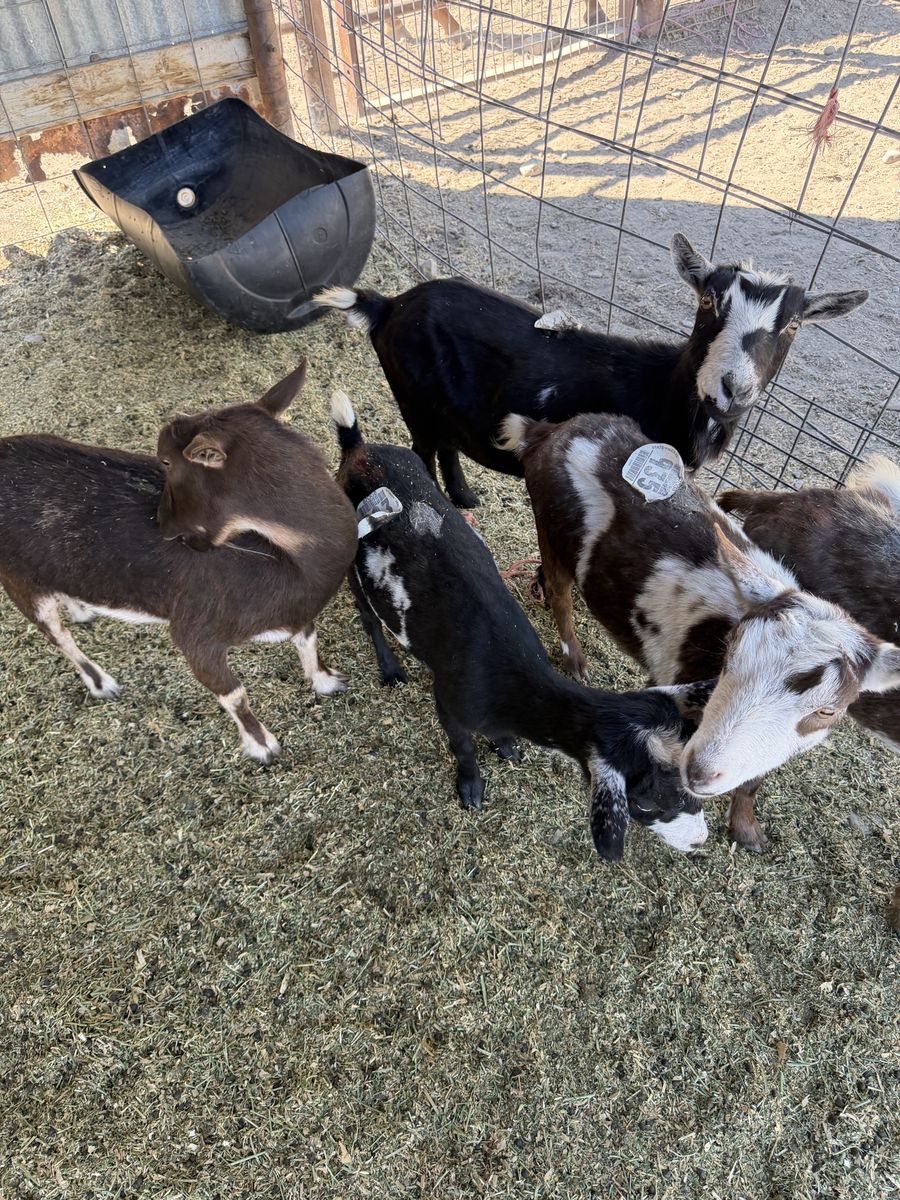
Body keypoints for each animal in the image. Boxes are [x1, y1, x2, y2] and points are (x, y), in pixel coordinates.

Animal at [0, 362, 357, 762]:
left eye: (166, 460)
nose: (163, 524)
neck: (288, 562)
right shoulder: (195, 633)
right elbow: (234, 694)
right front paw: (262, 746)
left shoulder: (297, 611)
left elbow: (308, 638)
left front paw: (327, 681)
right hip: (16, 577)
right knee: (56, 634)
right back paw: (102, 682)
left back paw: (81, 609)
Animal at [316, 233, 866, 507]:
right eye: (708, 300)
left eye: (793, 325)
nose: (732, 387)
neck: (659, 389)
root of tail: (388, 305)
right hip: (412, 396)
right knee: (425, 449)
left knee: (449, 443)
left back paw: (465, 498)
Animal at [330, 390, 713, 861]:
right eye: (646, 802)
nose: (700, 841)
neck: (508, 674)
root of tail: (357, 448)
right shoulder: (451, 703)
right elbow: (463, 747)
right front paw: (471, 788)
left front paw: (508, 748)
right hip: (352, 561)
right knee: (368, 617)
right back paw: (390, 670)